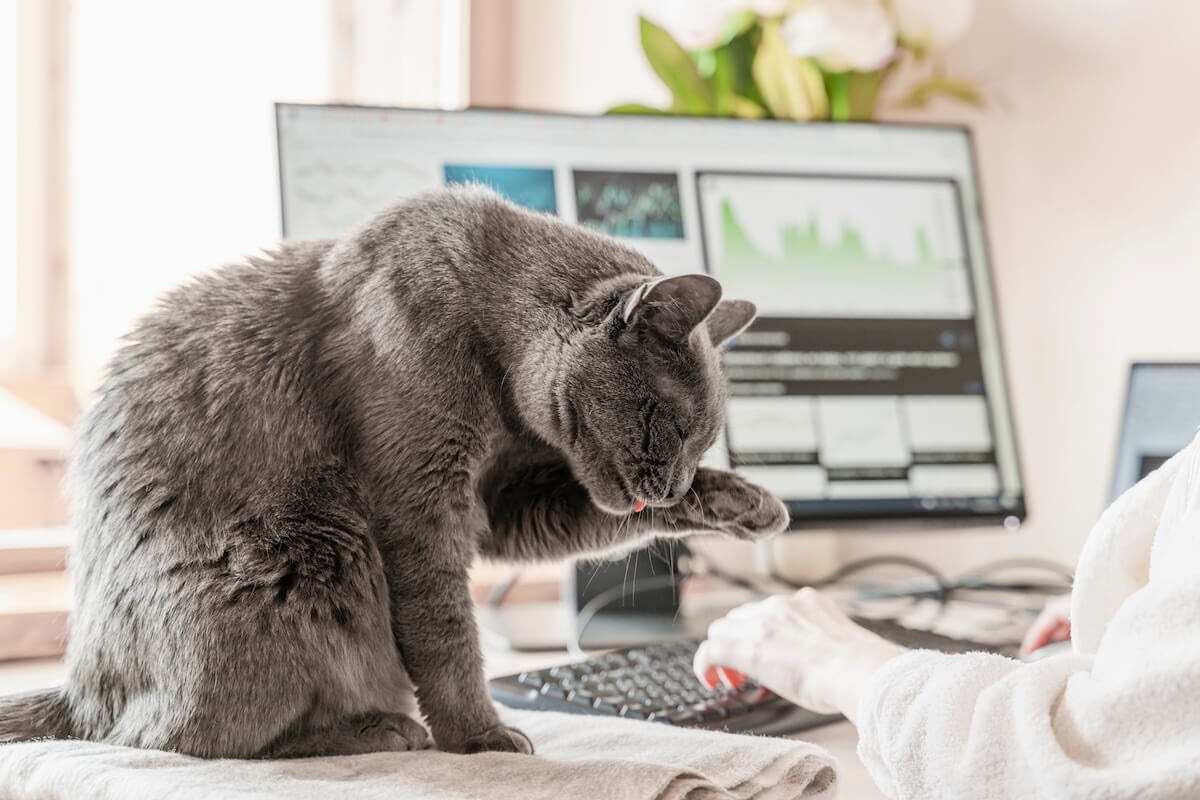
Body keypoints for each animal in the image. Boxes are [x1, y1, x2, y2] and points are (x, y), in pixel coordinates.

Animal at [0, 185, 787, 758]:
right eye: (668, 425)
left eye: (702, 442)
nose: (675, 483)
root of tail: (79, 688)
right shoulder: (419, 506)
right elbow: (446, 633)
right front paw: (479, 736)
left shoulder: (499, 503)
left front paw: (748, 504)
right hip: (314, 548)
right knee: (174, 739)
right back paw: (375, 728)